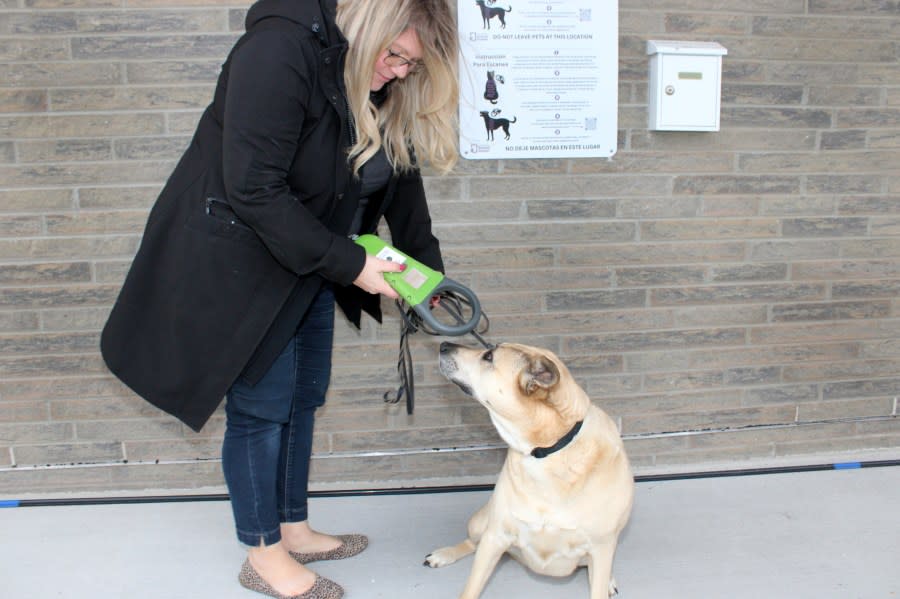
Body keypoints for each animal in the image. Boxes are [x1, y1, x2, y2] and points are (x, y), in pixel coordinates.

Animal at [428, 342, 632, 599]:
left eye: (488, 356)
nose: (444, 344)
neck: (546, 451)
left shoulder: (601, 547)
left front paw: (605, 583)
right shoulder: (495, 536)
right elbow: (471, 588)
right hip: (480, 524)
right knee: (472, 543)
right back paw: (445, 554)